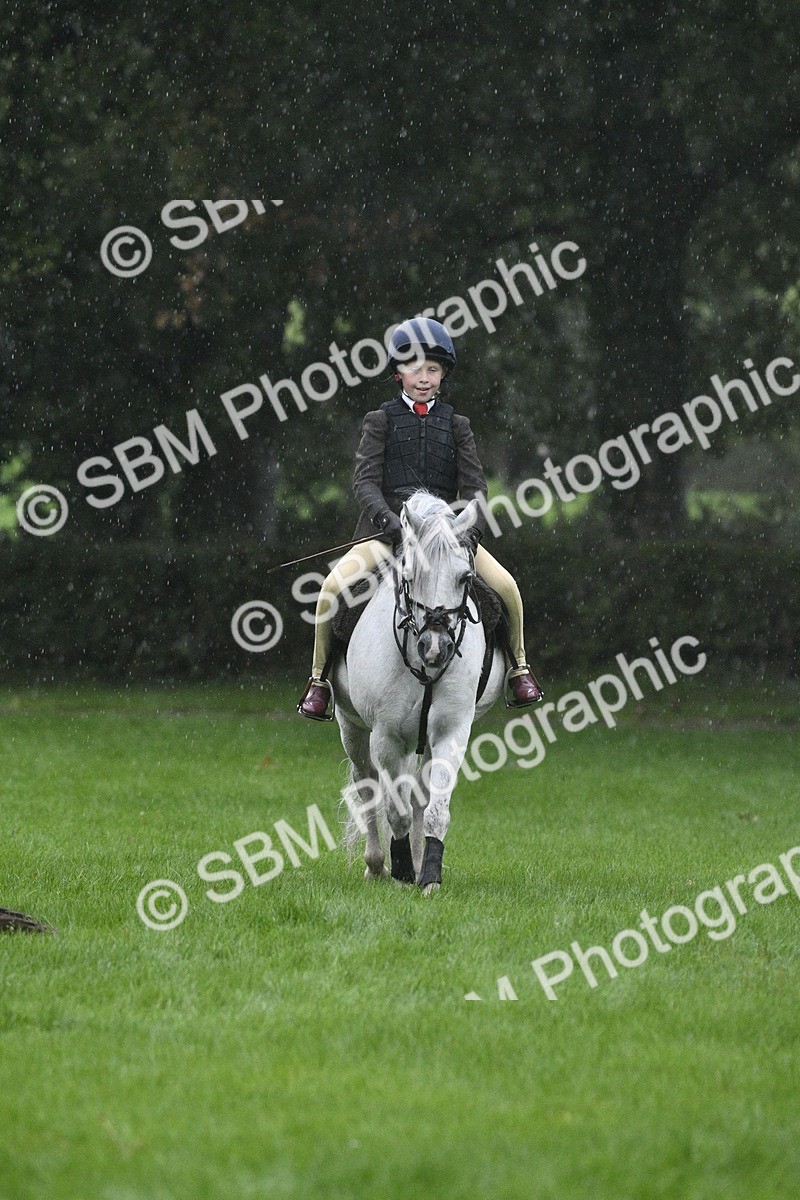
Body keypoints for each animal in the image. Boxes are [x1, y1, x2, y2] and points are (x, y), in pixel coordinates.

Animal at [331, 490, 506, 894]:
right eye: (410, 574)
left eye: (465, 577)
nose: (435, 648)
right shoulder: (386, 737)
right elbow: (393, 810)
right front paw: (402, 874)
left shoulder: (450, 732)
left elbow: (434, 810)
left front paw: (428, 877)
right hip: (352, 727)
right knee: (367, 787)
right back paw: (376, 866)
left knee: (419, 798)